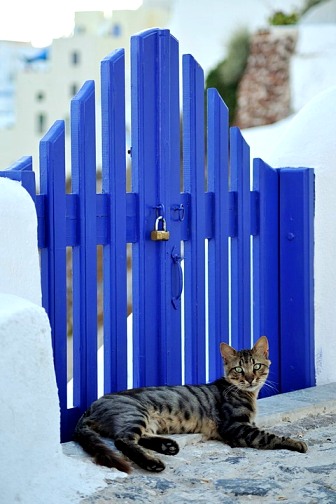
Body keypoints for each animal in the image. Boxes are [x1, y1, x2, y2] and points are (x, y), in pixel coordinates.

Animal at [73, 336, 308, 474]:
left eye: (257, 366)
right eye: (239, 369)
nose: (250, 379)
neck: (248, 394)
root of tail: (90, 407)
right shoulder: (236, 427)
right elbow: (270, 436)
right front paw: (296, 443)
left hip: (147, 421)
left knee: (139, 438)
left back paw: (167, 446)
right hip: (135, 413)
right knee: (123, 440)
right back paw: (153, 463)